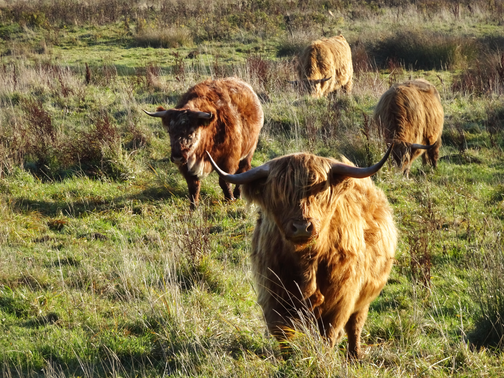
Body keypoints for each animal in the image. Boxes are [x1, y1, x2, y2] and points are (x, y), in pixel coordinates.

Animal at [144, 76, 264, 207]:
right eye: (170, 131)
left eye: (191, 132)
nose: (177, 157)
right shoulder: (187, 166)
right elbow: (193, 186)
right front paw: (194, 207)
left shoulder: (229, 160)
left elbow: (225, 181)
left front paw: (230, 199)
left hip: (249, 151)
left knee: (243, 170)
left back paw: (237, 194)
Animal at [207, 146, 396, 358]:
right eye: (280, 193)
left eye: (319, 191)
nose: (301, 227)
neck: (306, 264)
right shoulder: (273, 295)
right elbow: (283, 333)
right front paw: (289, 359)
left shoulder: (341, 299)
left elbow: (329, 333)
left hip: (364, 297)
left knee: (355, 325)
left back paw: (355, 355)